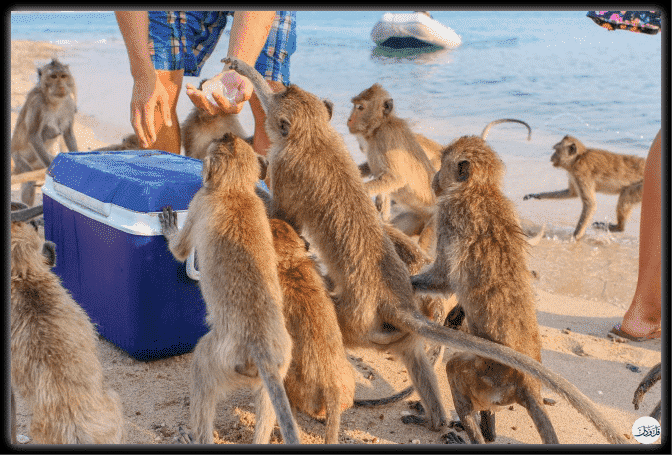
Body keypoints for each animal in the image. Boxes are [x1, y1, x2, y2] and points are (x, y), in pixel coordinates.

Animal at [10, 58, 79, 207]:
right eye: (53, 77)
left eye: (63, 76)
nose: (61, 86)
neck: (54, 101)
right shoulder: (36, 104)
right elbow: (34, 136)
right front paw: (52, 170)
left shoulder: (69, 103)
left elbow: (68, 133)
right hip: (18, 158)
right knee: (29, 181)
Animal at [159, 133, 300, 446]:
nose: (227, 135)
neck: (234, 191)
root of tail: (259, 346)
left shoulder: (199, 201)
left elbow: (180, 251)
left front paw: (170, 230)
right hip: (281, 361)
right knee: (268, 401)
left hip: (222, 359)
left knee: (201, 368)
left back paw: (197, 439)